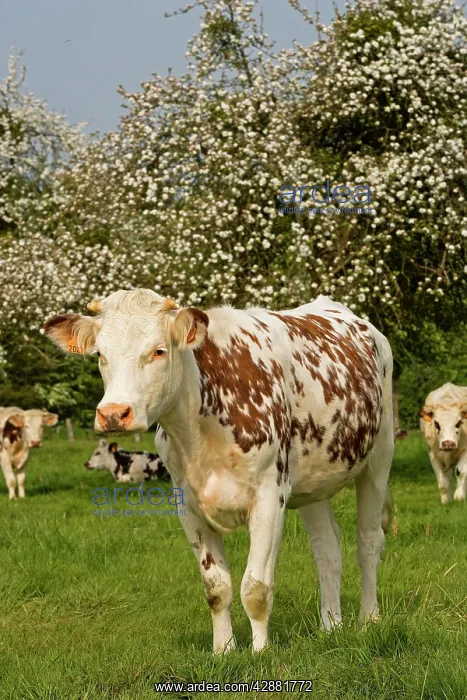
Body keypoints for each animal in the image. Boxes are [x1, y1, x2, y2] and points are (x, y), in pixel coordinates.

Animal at [45, 289, 394, 653]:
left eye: (159, 350)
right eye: (100, 354)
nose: (114, 413)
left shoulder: (270, 495)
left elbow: (255, 588)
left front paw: (260, 653)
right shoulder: (187, 505)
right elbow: (216, 588)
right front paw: (223, 651)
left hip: (379, 456)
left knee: (369, 541)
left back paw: (368, 619)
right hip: (312, 483)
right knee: (327, 546)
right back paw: (331, 626)